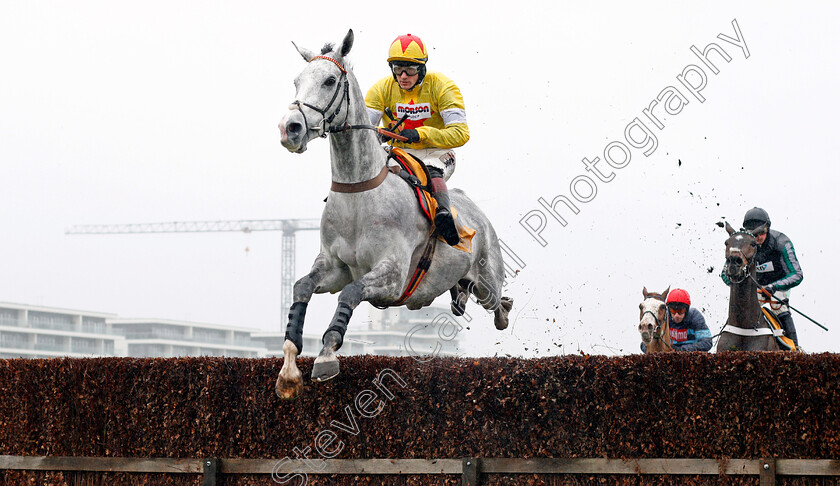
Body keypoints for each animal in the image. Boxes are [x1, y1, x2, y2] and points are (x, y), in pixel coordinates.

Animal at [276, 29, 512, 398]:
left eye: (329, 81)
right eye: (297, 81)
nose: (291, 128)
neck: (360, 196)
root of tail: (472, 208)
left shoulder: (392, 274)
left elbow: (350, 293)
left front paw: (327, 354)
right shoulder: (334, 266)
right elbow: (302, 287)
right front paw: (288, 368)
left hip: (487, 279)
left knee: (498, 306)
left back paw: (502, 308)